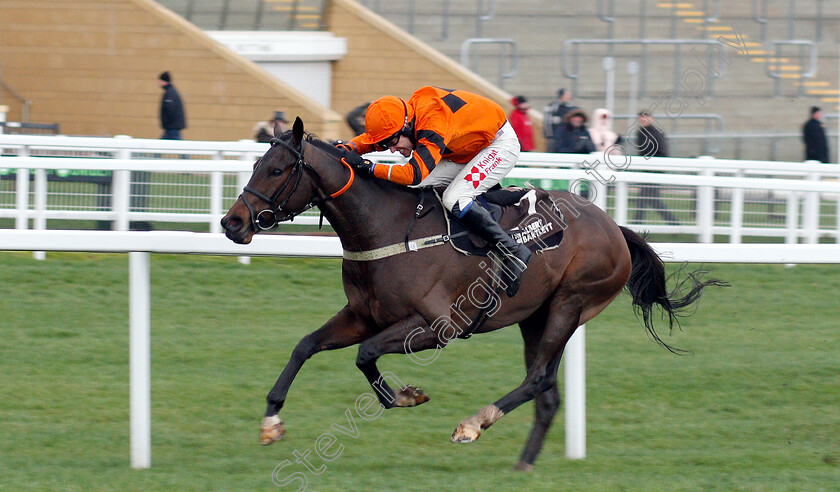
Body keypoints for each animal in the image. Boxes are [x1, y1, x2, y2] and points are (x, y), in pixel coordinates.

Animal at [220, 117, 720, 470]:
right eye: (255, 165)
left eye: (277, 169)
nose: (232, 223)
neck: (385, 228)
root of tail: (613, 227)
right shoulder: (363, 315)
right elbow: (305, 346)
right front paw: (271, 423)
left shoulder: (439, 326)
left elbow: (365, 355)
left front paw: (407, 396)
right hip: (534, 316)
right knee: (547, 391)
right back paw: (522, 466)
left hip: (571, 303)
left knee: (538, 379)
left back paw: (473, 425)